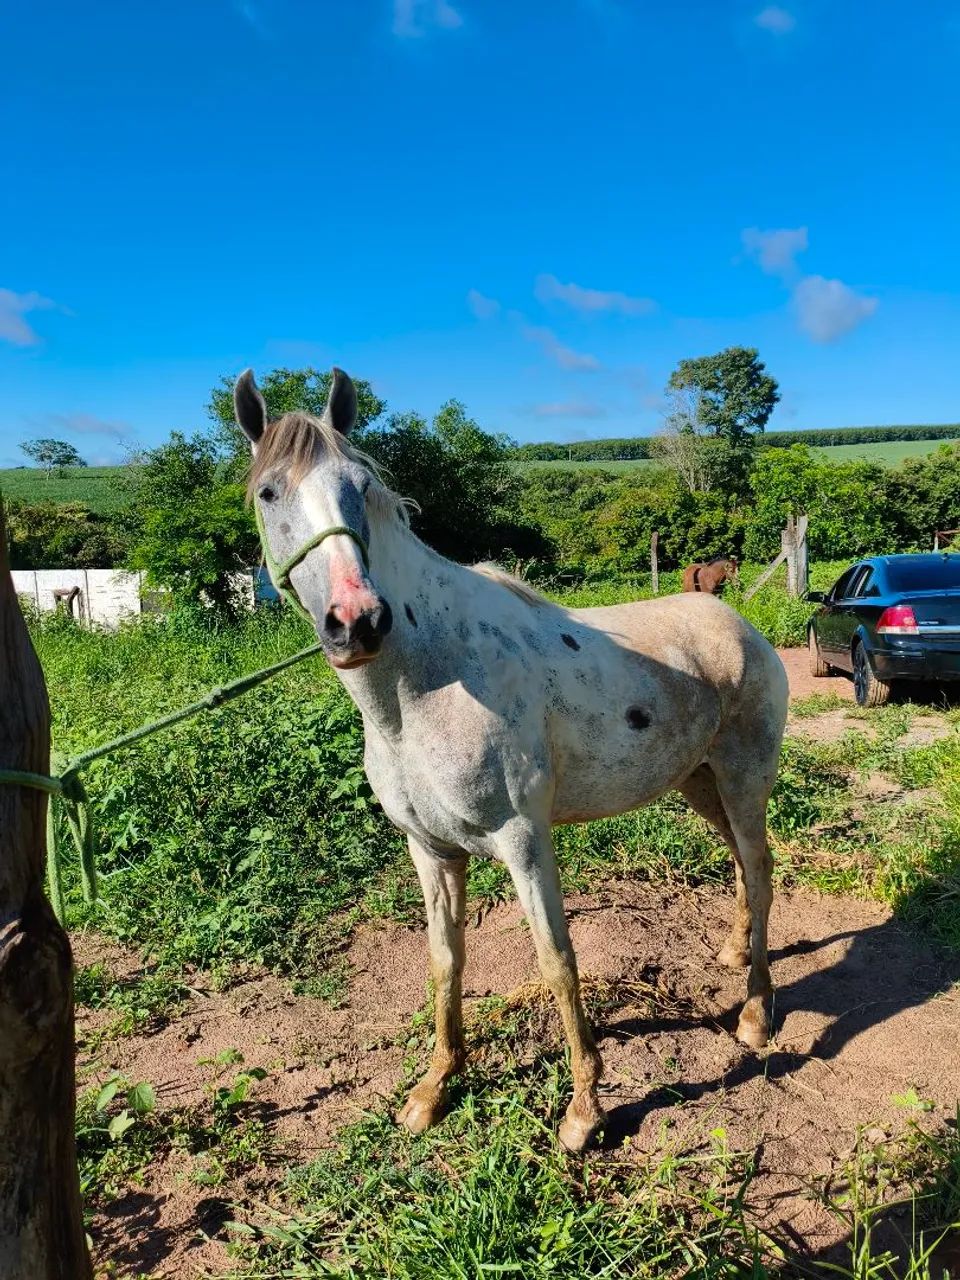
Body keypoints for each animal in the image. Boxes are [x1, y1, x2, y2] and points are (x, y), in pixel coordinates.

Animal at [234, 367, 788, 1153]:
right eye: (268, 492)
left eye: (360, 486)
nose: (357, 621)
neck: (424, 687)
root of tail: (742, 627)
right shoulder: (431, 849)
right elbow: (444, 961)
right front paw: (434, 1088)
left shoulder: (525, 842)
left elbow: (557, 960)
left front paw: (585, 1111)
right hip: (698, 785)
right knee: (743, 864)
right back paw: (737, 958)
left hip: (743, 780)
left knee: (762, 869)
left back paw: (755, 1014)